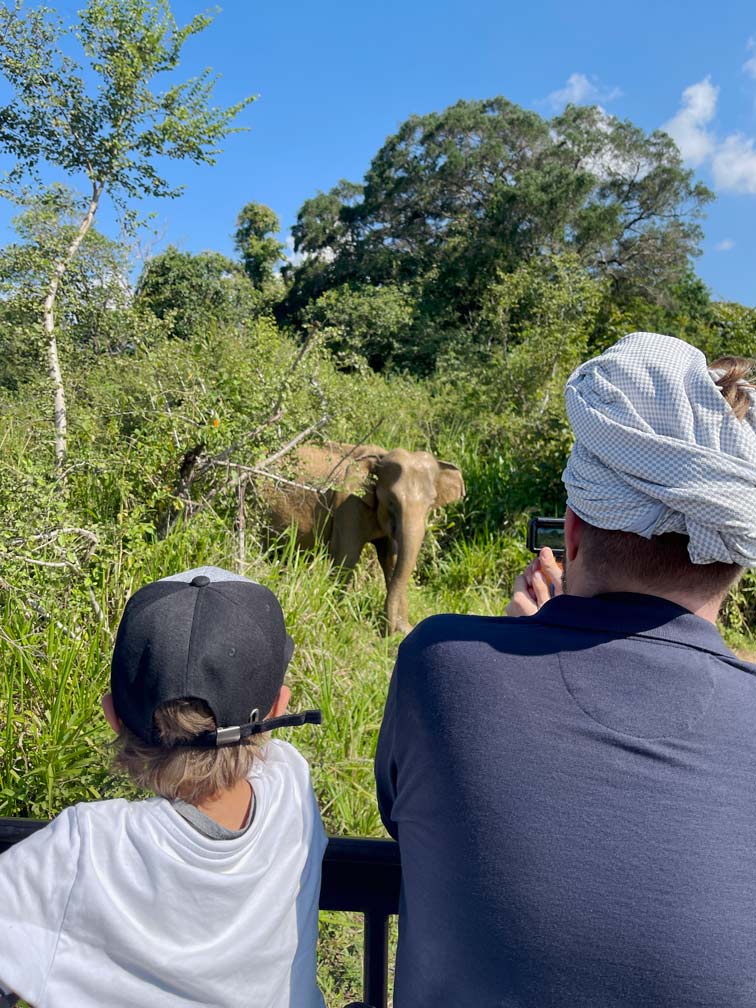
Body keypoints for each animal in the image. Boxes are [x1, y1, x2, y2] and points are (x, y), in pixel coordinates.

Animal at [264, 439, 465, 633]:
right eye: (391, 501)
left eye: (431, 504)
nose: (388, 630)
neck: (379, 457)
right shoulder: (348, 503)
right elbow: (347, 556)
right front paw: (338, 621)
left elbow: (391, 560)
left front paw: (402, 629)